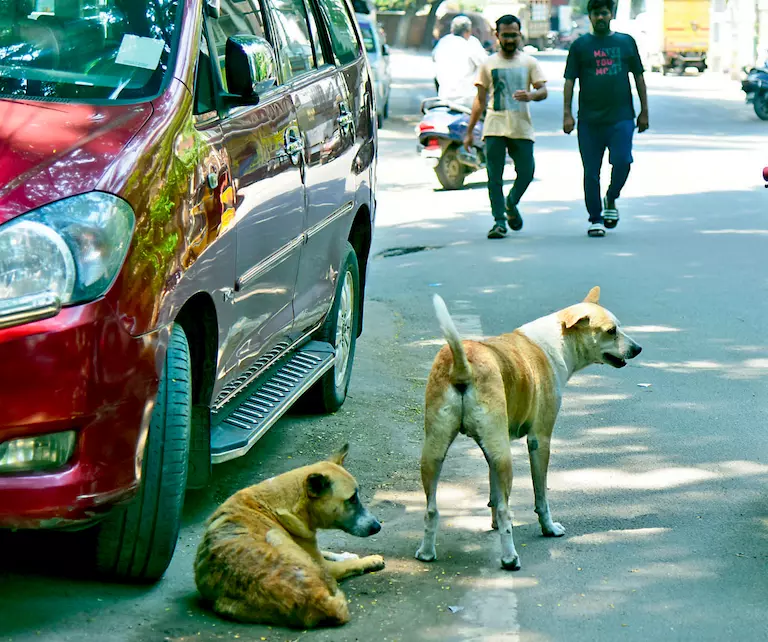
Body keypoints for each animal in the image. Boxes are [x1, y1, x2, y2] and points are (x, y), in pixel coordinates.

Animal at [194, 444, 382, 624]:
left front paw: (346, 555)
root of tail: (315, 599)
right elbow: (347, 563)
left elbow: (327, 551)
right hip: (277, 536)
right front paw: (367, 560)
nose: (378, 526)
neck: (285, 503)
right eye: (352, 499)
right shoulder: (323, 563)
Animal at [416, 288, 640, 568]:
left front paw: (492, 522)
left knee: (431, 509)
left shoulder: (491, 450)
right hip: (504, 457)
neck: (555, 342)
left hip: (435, 452)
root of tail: (461, 365)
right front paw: (549, 528)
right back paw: (510, 558)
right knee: (506, 511)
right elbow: (540, 495)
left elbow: (494, 492)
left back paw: (426, 552)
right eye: (612, 331)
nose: (638, 348)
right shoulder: (539, 441)